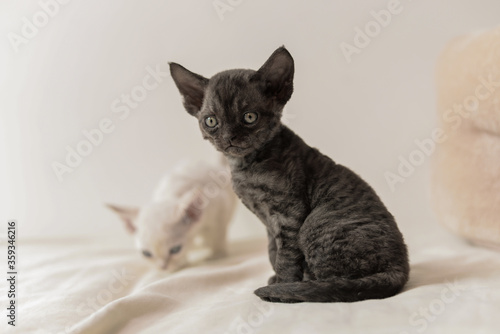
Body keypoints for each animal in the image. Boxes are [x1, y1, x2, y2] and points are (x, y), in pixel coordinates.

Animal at [107, 157, 236, 272]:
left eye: (175, 250)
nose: (163, 267)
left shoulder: (220, 207)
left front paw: (218, 254)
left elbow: (218, 235)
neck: (170, 194)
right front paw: (183, 261)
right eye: (146, 253)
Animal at [170, 46, 408, 302]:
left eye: (249, 117)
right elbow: (272, 251)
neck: (245, 166)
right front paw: (277, 279)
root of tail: (400, 269)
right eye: (211, 121)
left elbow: (285, 256)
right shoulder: (268, 223)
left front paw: (283, 285)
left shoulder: (289, 214)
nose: (229, 137)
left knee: (338, 284)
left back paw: (300, 288)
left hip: (314, 224)